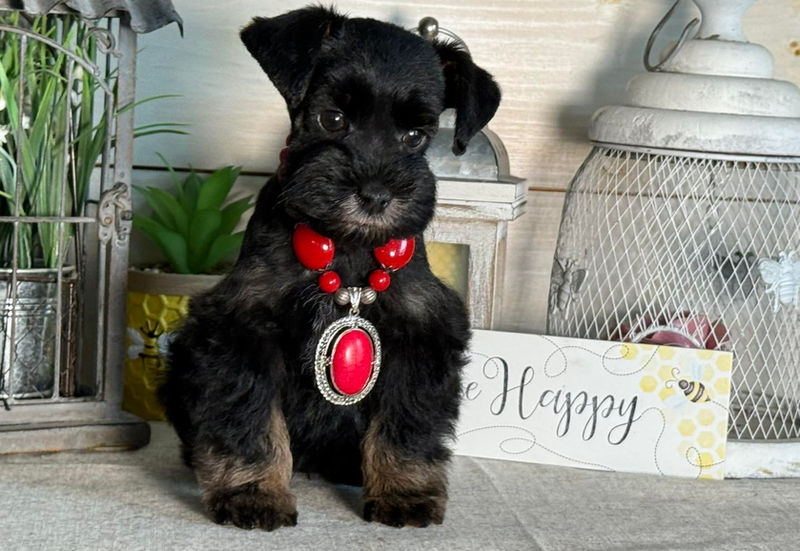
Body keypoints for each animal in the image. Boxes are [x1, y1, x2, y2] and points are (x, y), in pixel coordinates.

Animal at [160, 6, 500, 530]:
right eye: (332, 118)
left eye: (415, 136)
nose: (377, 195)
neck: (346, 246)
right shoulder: (241, 329)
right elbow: (250, 418)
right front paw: (252, 492)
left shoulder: (422, 334)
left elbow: (408, 422)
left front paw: (404, 491)